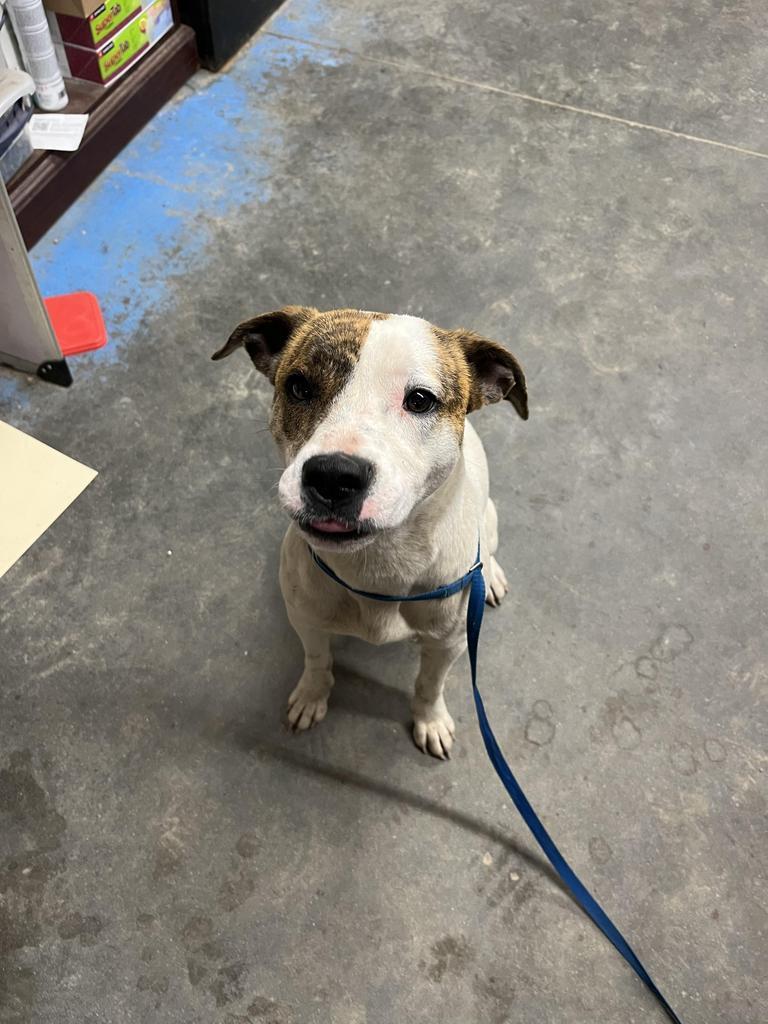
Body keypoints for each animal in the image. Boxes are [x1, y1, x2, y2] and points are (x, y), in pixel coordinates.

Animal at [211, 309, 528, 761]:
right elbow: (316, 659)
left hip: (491, 518)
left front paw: (430, 720)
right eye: (299, 386)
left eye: (420, 400)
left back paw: (494, 577)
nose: (333, 476)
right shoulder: (305, 618)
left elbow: (430, 684)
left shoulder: (448, 644)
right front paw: (311, 695)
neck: (380, 565)